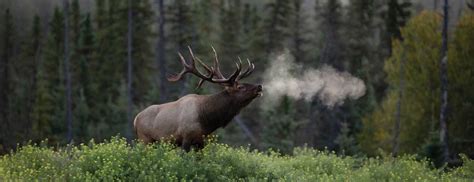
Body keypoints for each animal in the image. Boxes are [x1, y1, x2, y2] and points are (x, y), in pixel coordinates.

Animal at [132, 46, 262, 151]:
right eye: (240, 87)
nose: (259, 86)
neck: (207, 119)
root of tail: (135, 119)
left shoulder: (201, 142)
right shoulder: (186, 138)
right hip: (145, 139)